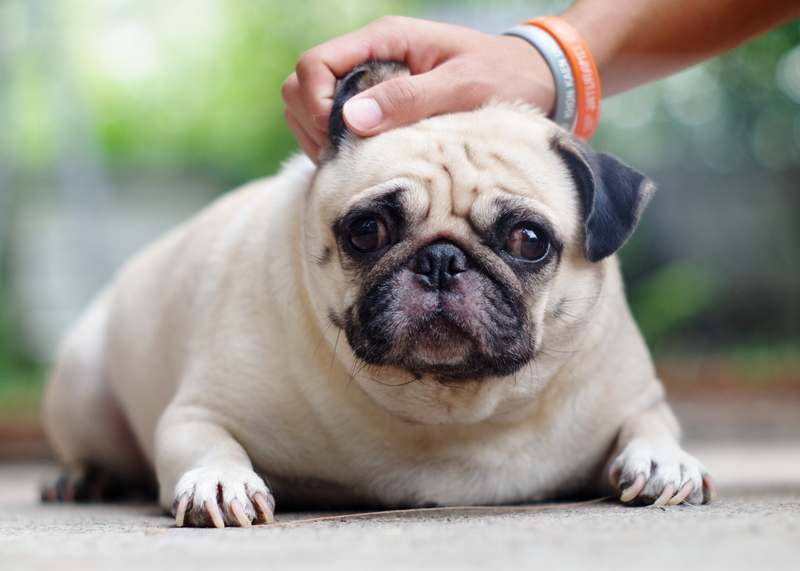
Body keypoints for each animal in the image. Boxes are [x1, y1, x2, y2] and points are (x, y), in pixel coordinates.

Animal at [43, 61, 716, 528]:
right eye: (367, 231)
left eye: (528, 241)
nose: (441, 261)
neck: (447, 412)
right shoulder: (198, 411)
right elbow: (208, 441)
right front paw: (220, 480)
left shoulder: (634, 396)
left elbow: (650, 424)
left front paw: (664, 460)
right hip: (83, 386)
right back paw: (83, 477)